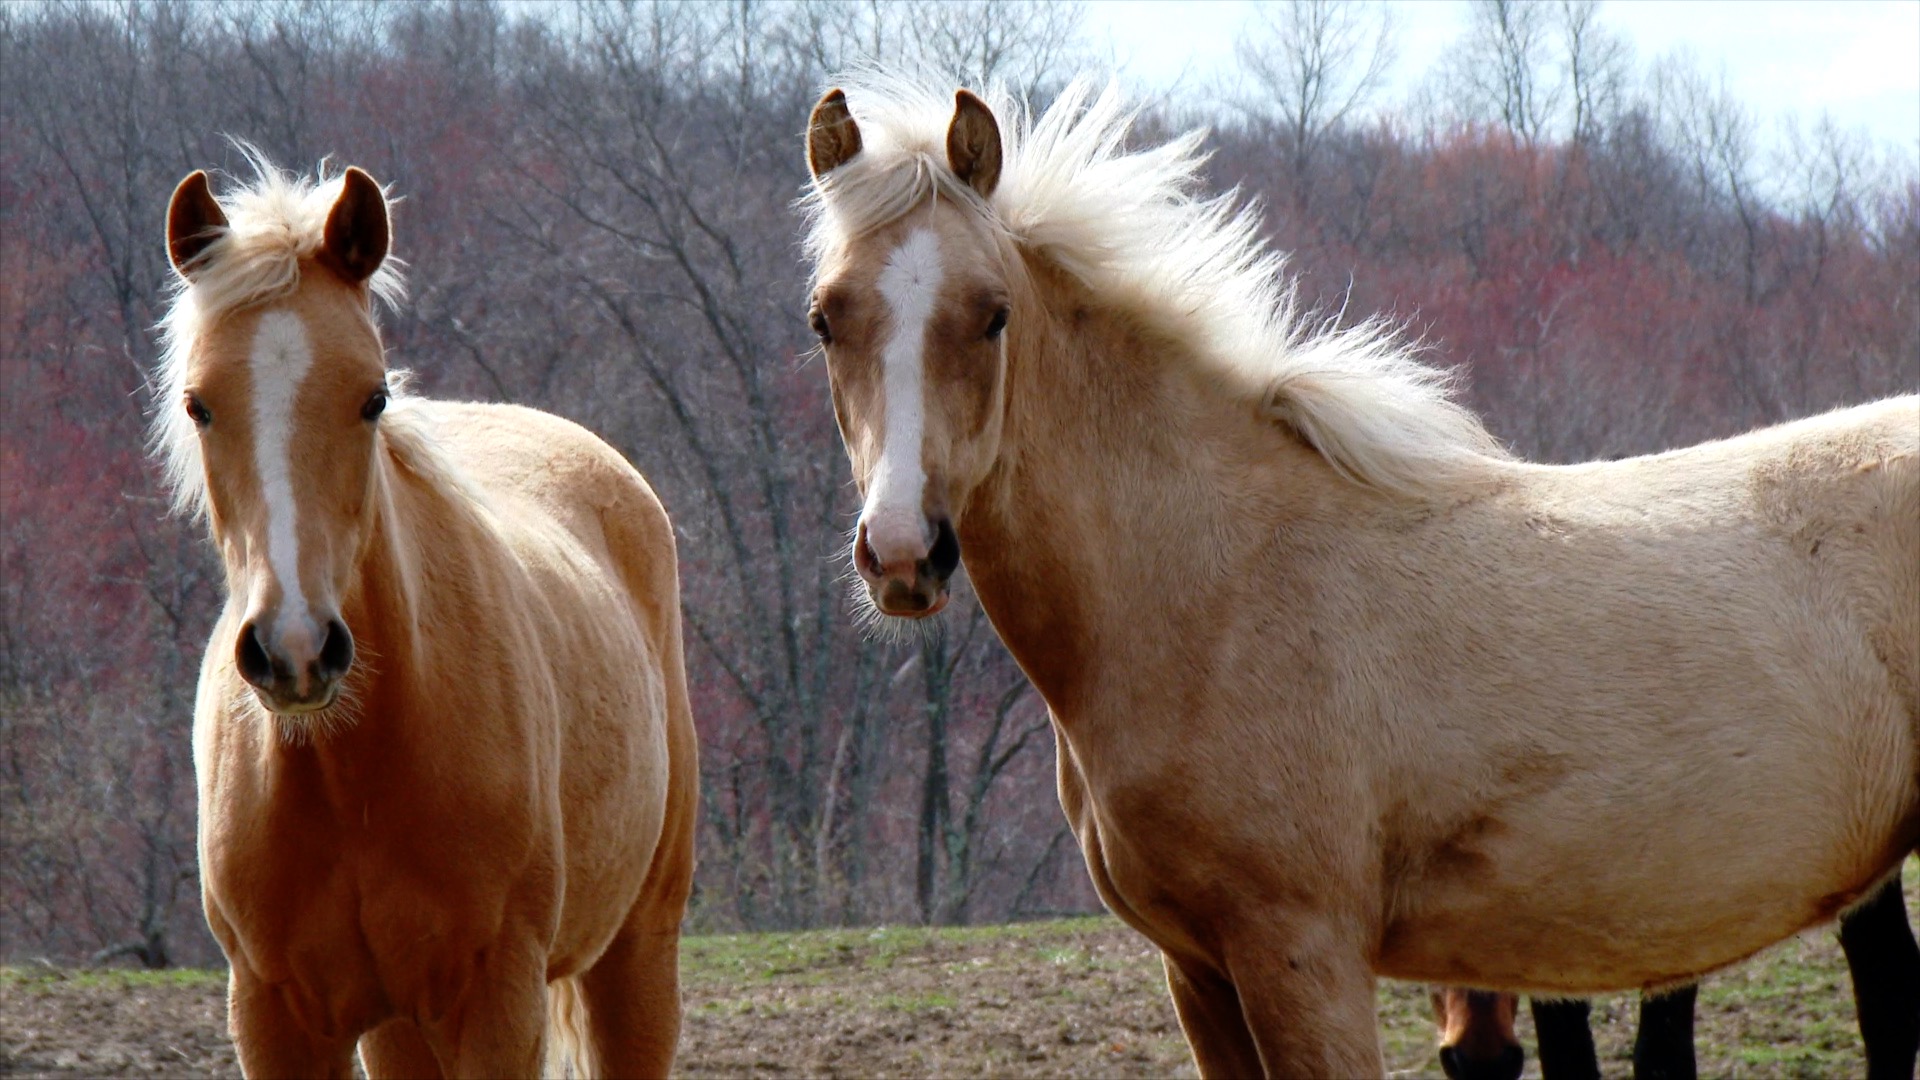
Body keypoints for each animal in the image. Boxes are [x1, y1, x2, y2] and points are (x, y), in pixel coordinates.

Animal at [154, 158, 698, 1078]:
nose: (296, 650)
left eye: (372, 398)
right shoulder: (276, 1015)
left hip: (637, 954)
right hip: (401, 1026)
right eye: (199, 403)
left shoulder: (497, 1003)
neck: (354, 766)